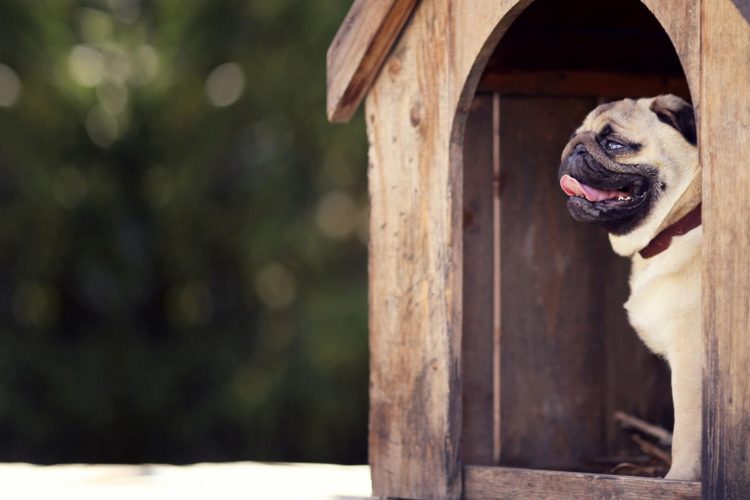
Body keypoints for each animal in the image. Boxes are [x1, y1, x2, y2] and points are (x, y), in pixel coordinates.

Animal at [560, 94, 704, 480]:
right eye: (575, 137)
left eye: (614, 144)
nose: (575, 149)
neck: (677, 226)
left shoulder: (690, 362)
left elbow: (687, 435)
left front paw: (678, 481)